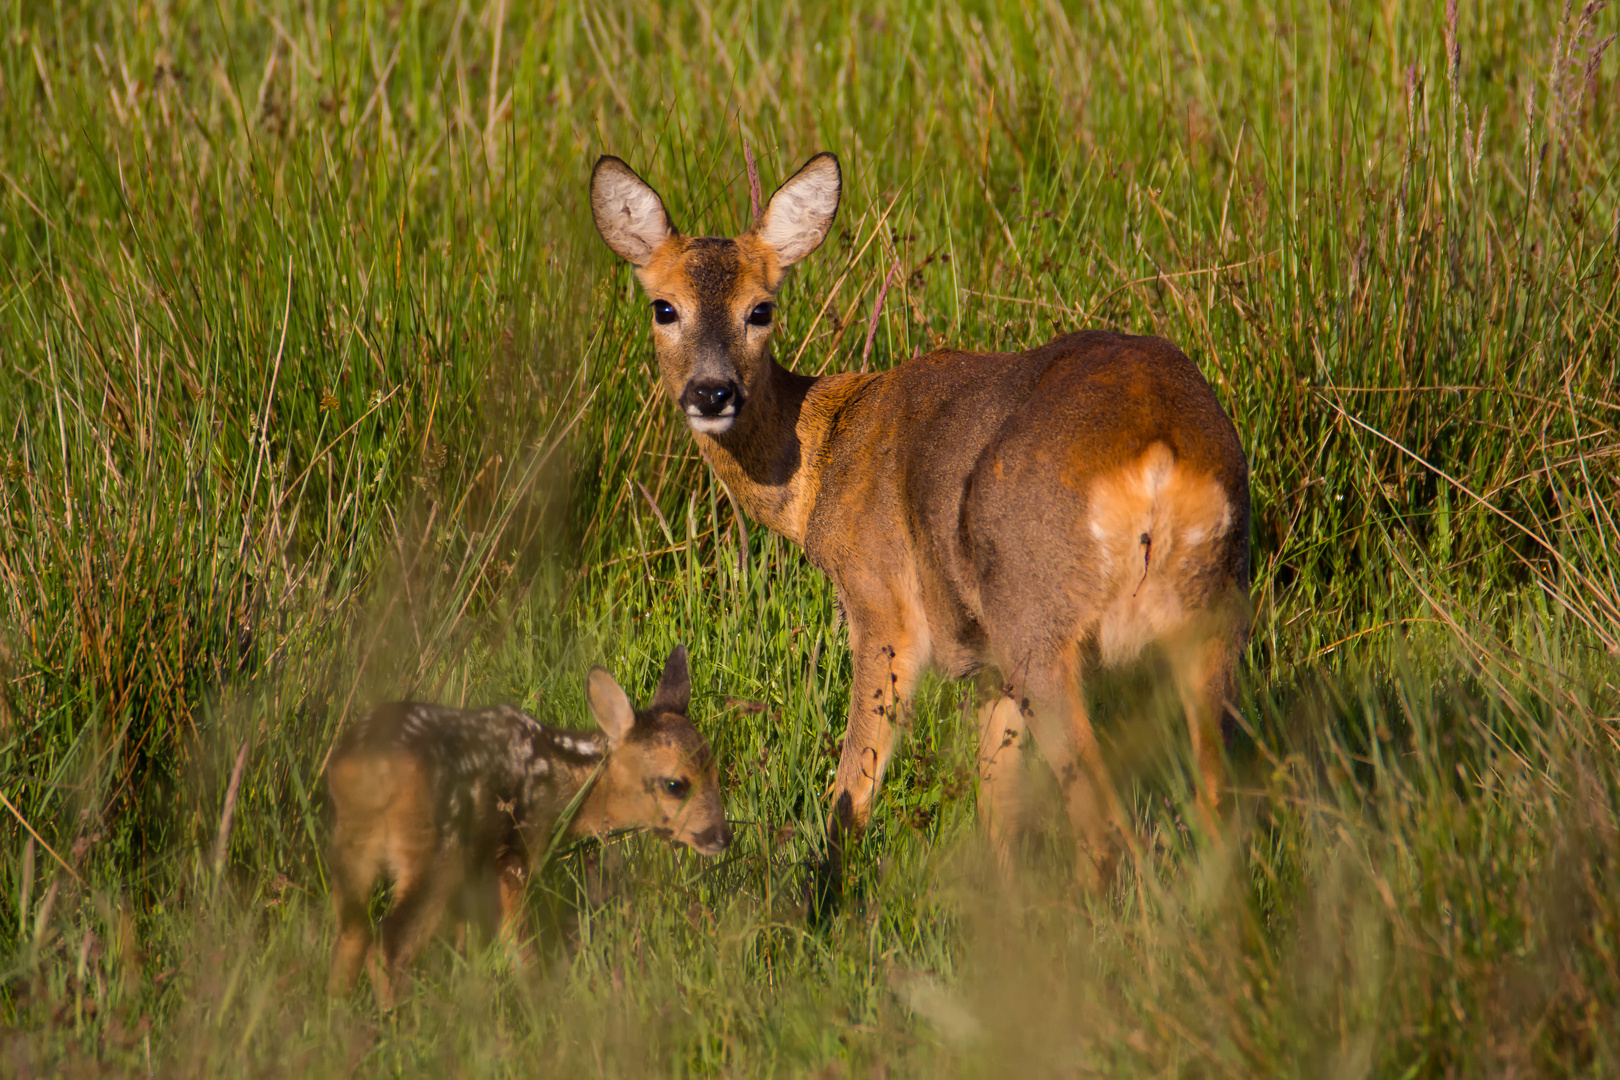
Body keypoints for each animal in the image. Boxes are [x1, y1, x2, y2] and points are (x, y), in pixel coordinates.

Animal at [324, 641, 729, 1003]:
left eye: (715, 771)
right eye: (675, 784)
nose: (722, 836)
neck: (563, 784)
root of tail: (370, 767)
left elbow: (468, 936)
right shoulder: (518, 852)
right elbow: (519, 939)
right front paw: (538, 994)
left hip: (354, 841)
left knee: (352, 933)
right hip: (436, 847)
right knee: (388, 946)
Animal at [592, 153, 1250, 893]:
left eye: (760, 308)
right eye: (664, 306)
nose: (712, 393)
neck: (821, 458)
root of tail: (1158, 452)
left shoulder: (882, 603)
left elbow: (853, 787)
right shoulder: (988, 663)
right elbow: (996, 803)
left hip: (1041, 622)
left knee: (1108, 830)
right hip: (1209, 613)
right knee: (1217, 808)